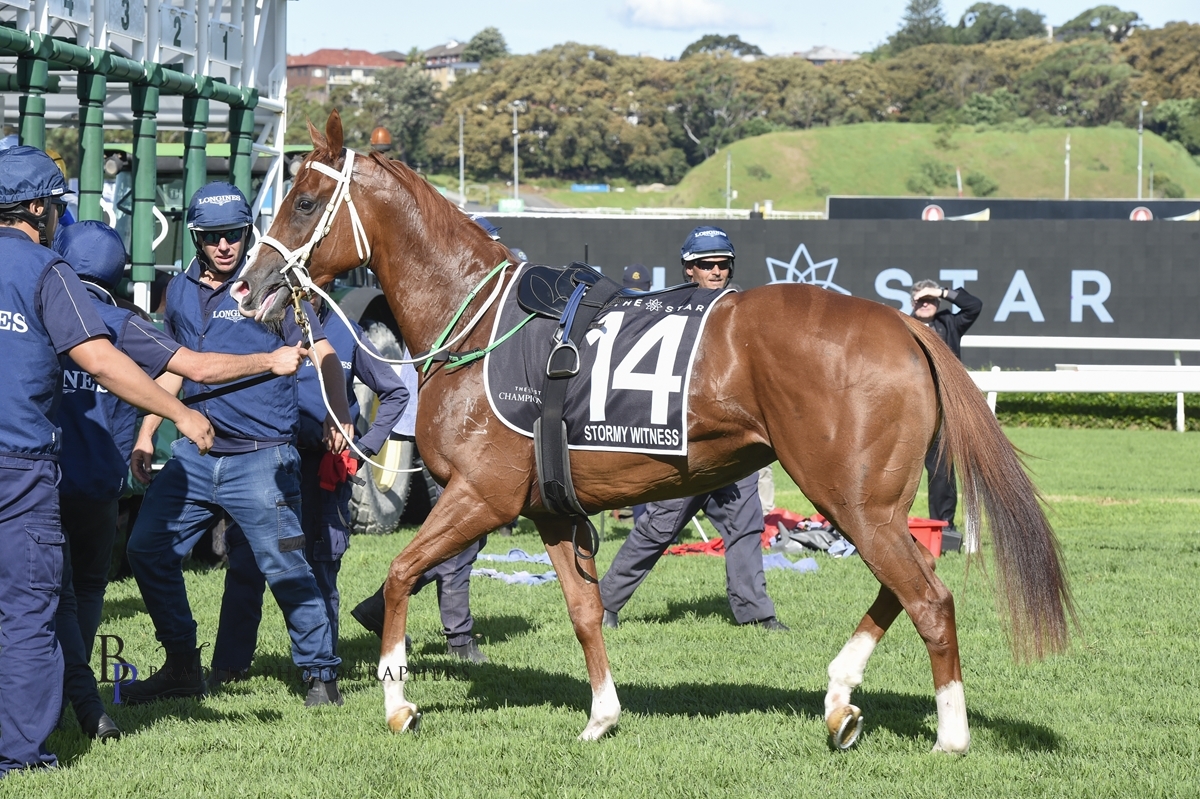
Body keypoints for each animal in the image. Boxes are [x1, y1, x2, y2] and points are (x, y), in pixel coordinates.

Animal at [229, 110, 1075, 748]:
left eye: (302, 202)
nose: (246, 283)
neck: (477, 317)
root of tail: (906, 324)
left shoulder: (481, 494)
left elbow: (405, 571)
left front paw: (398, 699)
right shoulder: (547, 508)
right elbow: (584, 608)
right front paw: (601, 715)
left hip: (854, 499)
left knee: (928, 597)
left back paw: (949, 733)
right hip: (869, 502)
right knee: (905, 586)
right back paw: (840, 697)